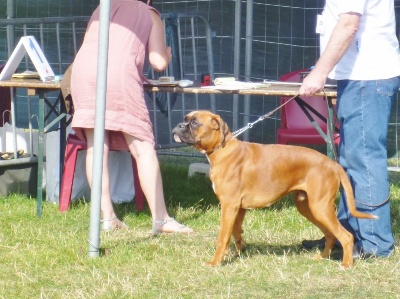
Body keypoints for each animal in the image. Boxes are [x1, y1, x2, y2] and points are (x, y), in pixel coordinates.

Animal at [171, 110, 376, 270]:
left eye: (195, 122)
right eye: (185, 118)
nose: (179, 125)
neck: (222, 149)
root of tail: (332, 163)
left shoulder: (229, 206)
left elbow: (223, 237)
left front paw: (215, 262)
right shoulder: (239, 209)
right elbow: (236, 231)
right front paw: (241, 250)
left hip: (320, 207)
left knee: (346, 236)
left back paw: (346, 264)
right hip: (309, 207)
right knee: (330, 235)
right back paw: (321, 257)